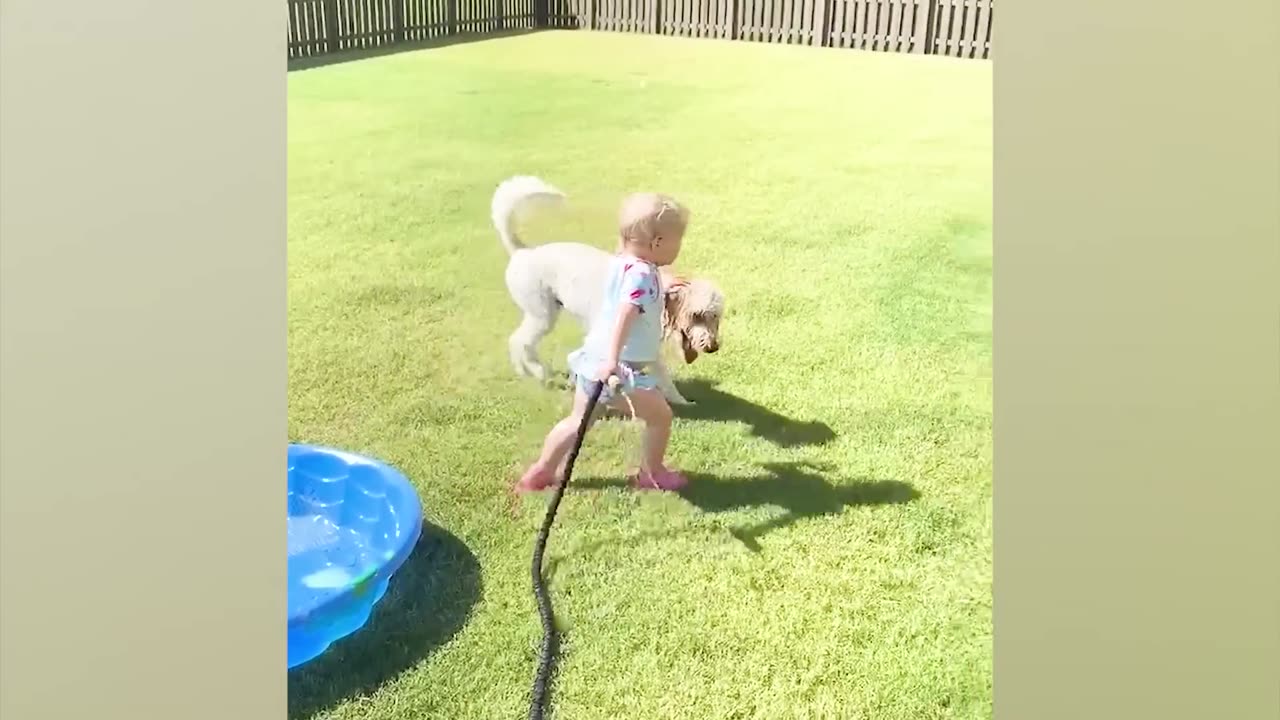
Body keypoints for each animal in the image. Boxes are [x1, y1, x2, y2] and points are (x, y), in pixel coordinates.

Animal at [488, 174, 721, 404]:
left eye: (716, 317)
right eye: (697, 315)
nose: (713, 348)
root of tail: (522, 252)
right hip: (542, 314)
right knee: (519, 341)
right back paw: (536, 371)